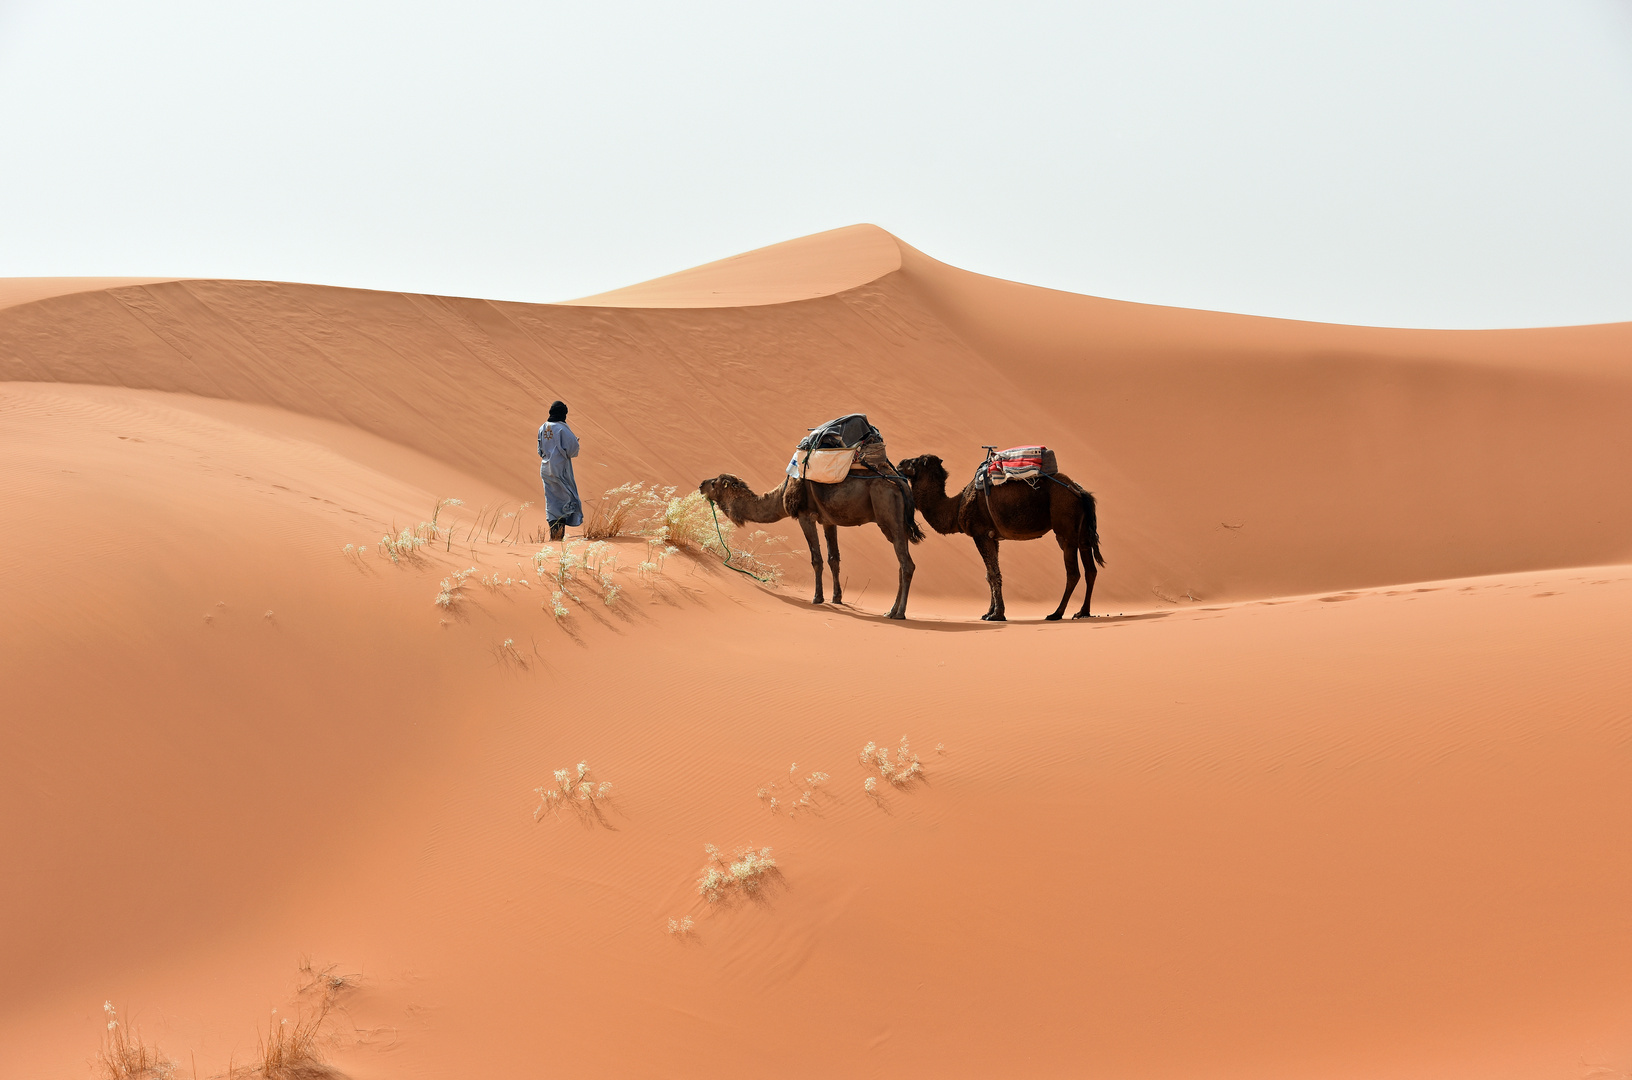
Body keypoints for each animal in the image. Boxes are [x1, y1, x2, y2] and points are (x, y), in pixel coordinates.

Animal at [698, 479, 926, 623]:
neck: (782, 494)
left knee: (907, 564)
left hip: (889, 516)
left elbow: (817, 559)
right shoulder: (828, 520)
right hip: (899, 524)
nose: (701, 485)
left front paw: (817, 597)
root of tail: (903, 486)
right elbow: (834, 558)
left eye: (715, 482)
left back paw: (900, 613)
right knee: (902, 564)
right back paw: (891, 611)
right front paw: (837, 598)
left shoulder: (805, 515)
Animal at [894, 453, 1109, 626]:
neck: (956, 506)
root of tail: (1080, 491)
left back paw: (1056, 613)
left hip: (1065, 526)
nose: (899, 463)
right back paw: (1083, 612)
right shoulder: (993, 537)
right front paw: (988, 612)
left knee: (1073, 572)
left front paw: (997, 615)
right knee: (1090, 569)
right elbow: (991, 574)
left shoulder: (981, 533)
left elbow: (992, 574)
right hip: (1082, 531)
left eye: (914, 461)